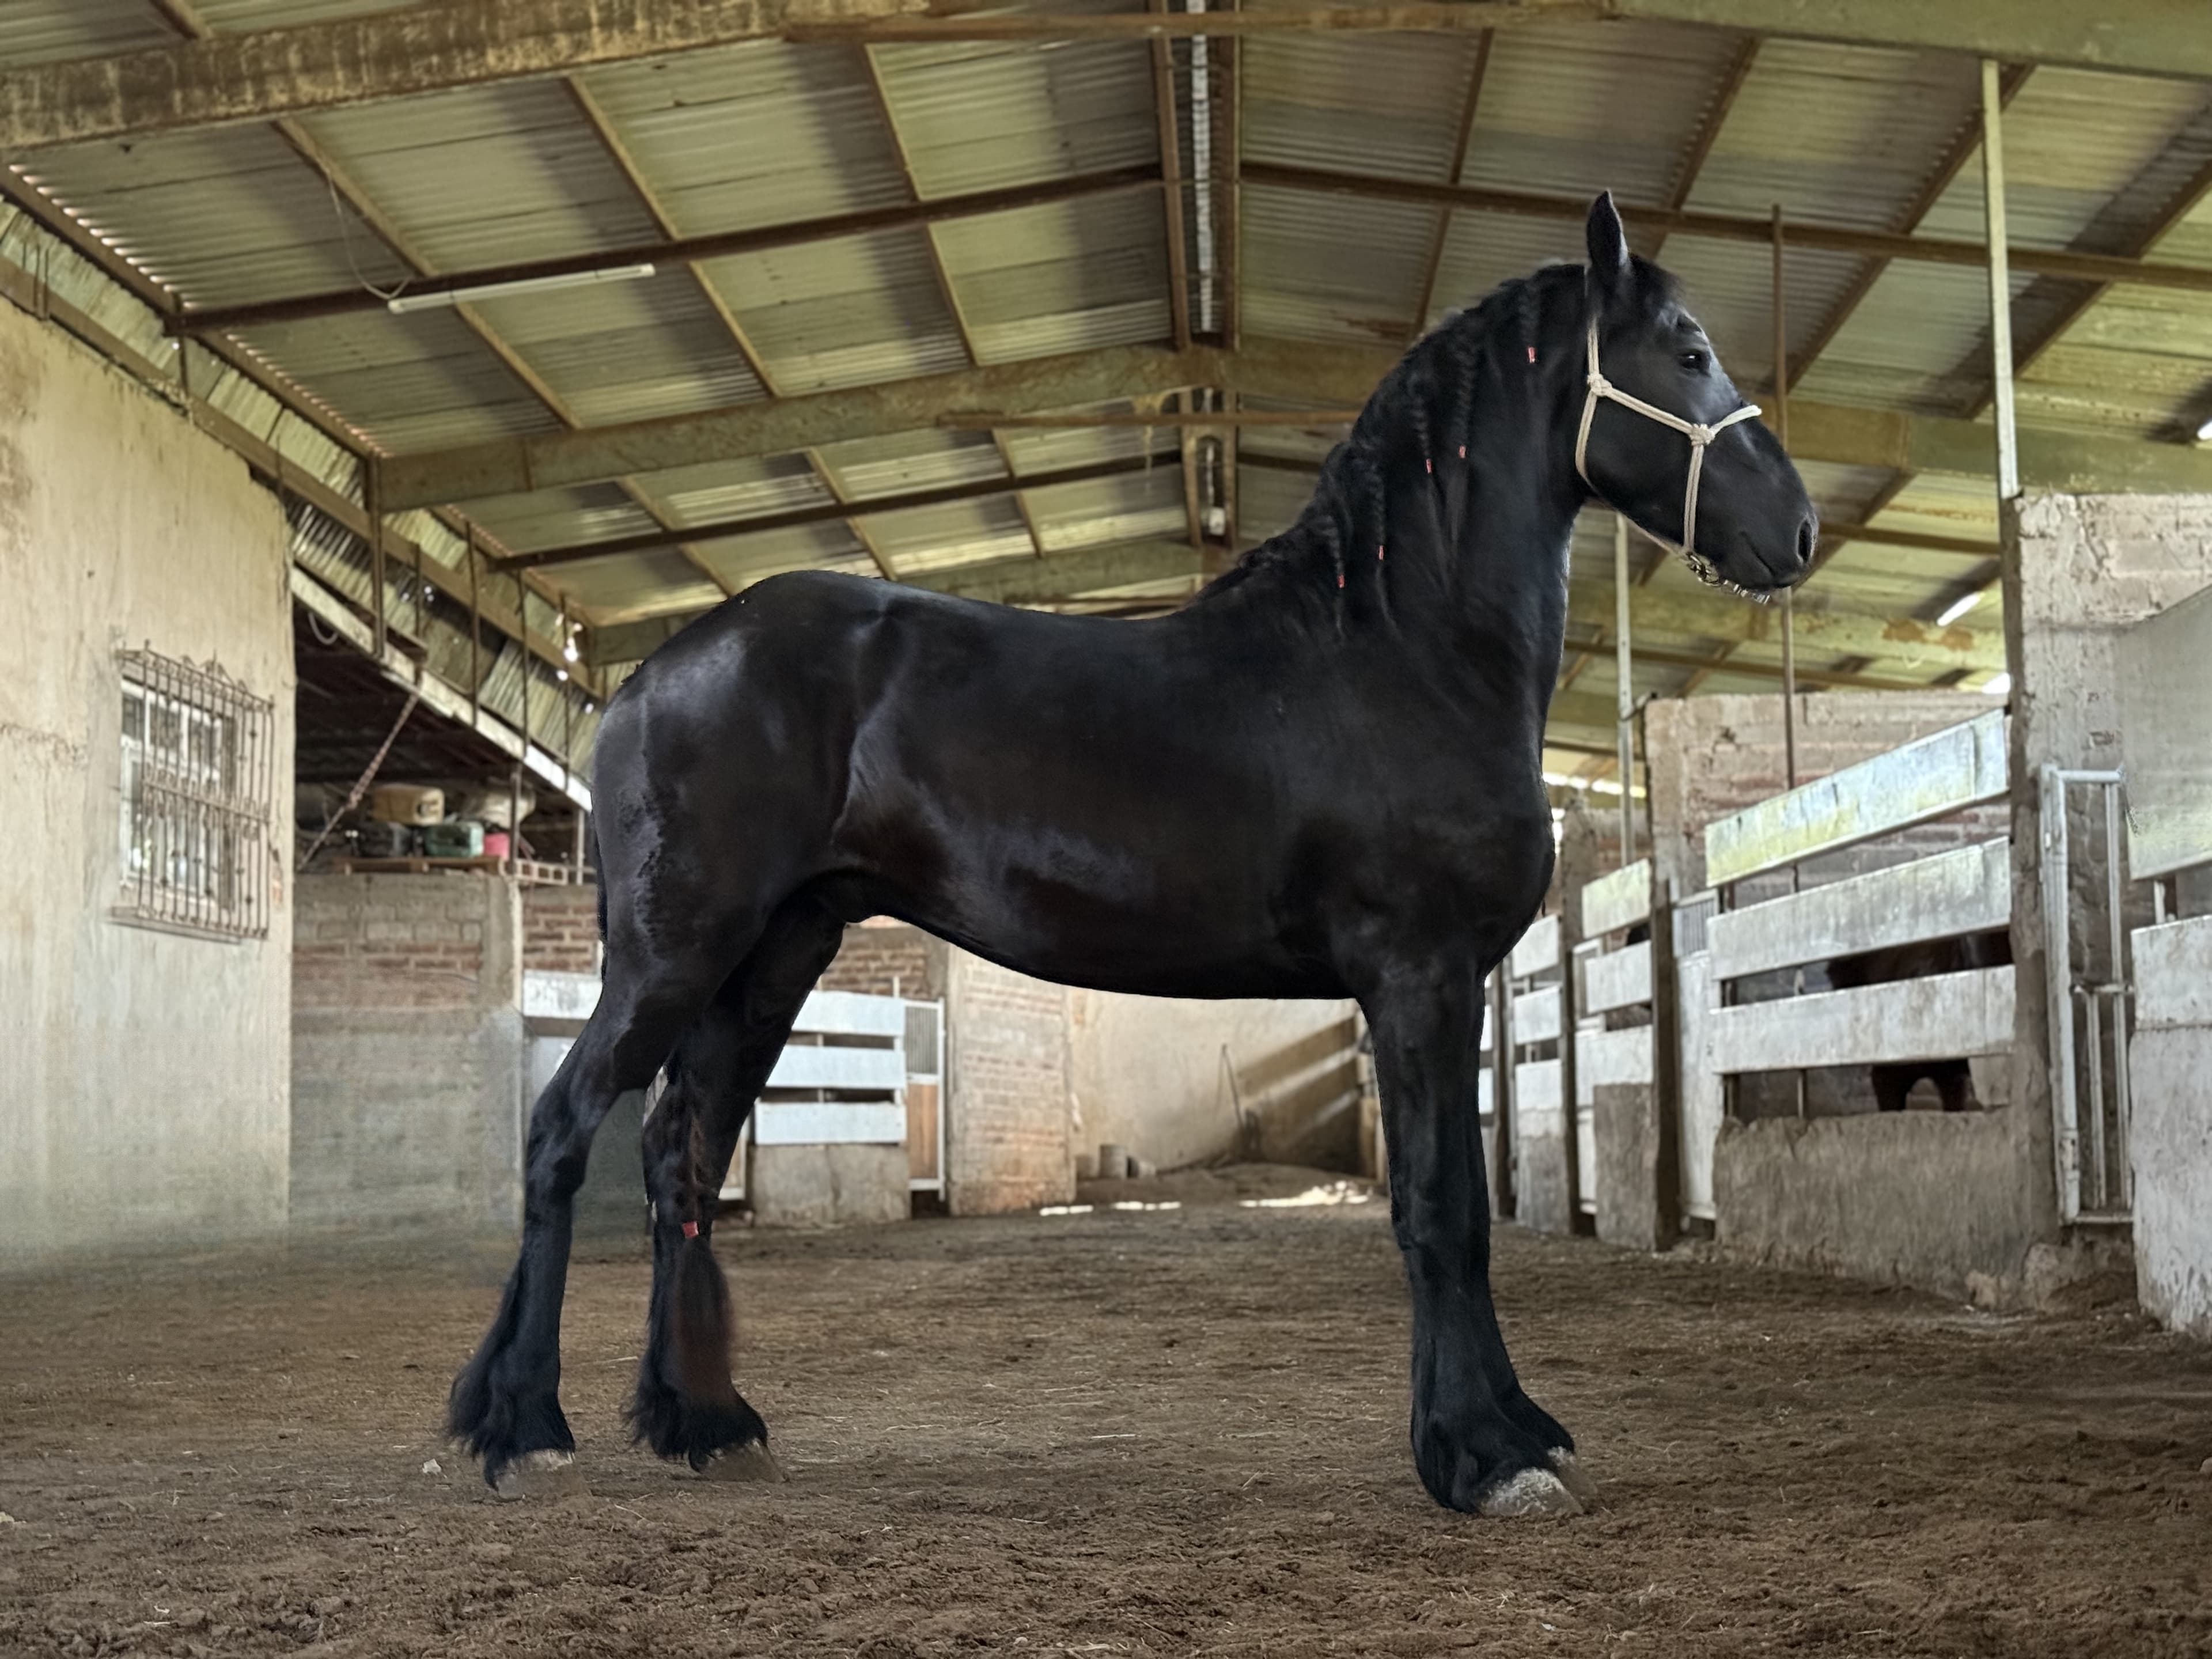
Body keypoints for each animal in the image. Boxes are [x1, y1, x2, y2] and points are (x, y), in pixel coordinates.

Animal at [447, 192, 1816, 1518]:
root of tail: (651, 674)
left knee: (680, 1154)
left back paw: (705, 1426)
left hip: (775, 955)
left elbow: (1461, 1204)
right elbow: (1440, 1213)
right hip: (675, 954)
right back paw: (521, 1430)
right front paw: (1485, 1459)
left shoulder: (1444, 990)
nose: (1798, 531)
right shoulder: (1419, 980)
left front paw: (1508, 1433)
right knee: (562, 1132)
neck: (1399, 652)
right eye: (1689, 352)